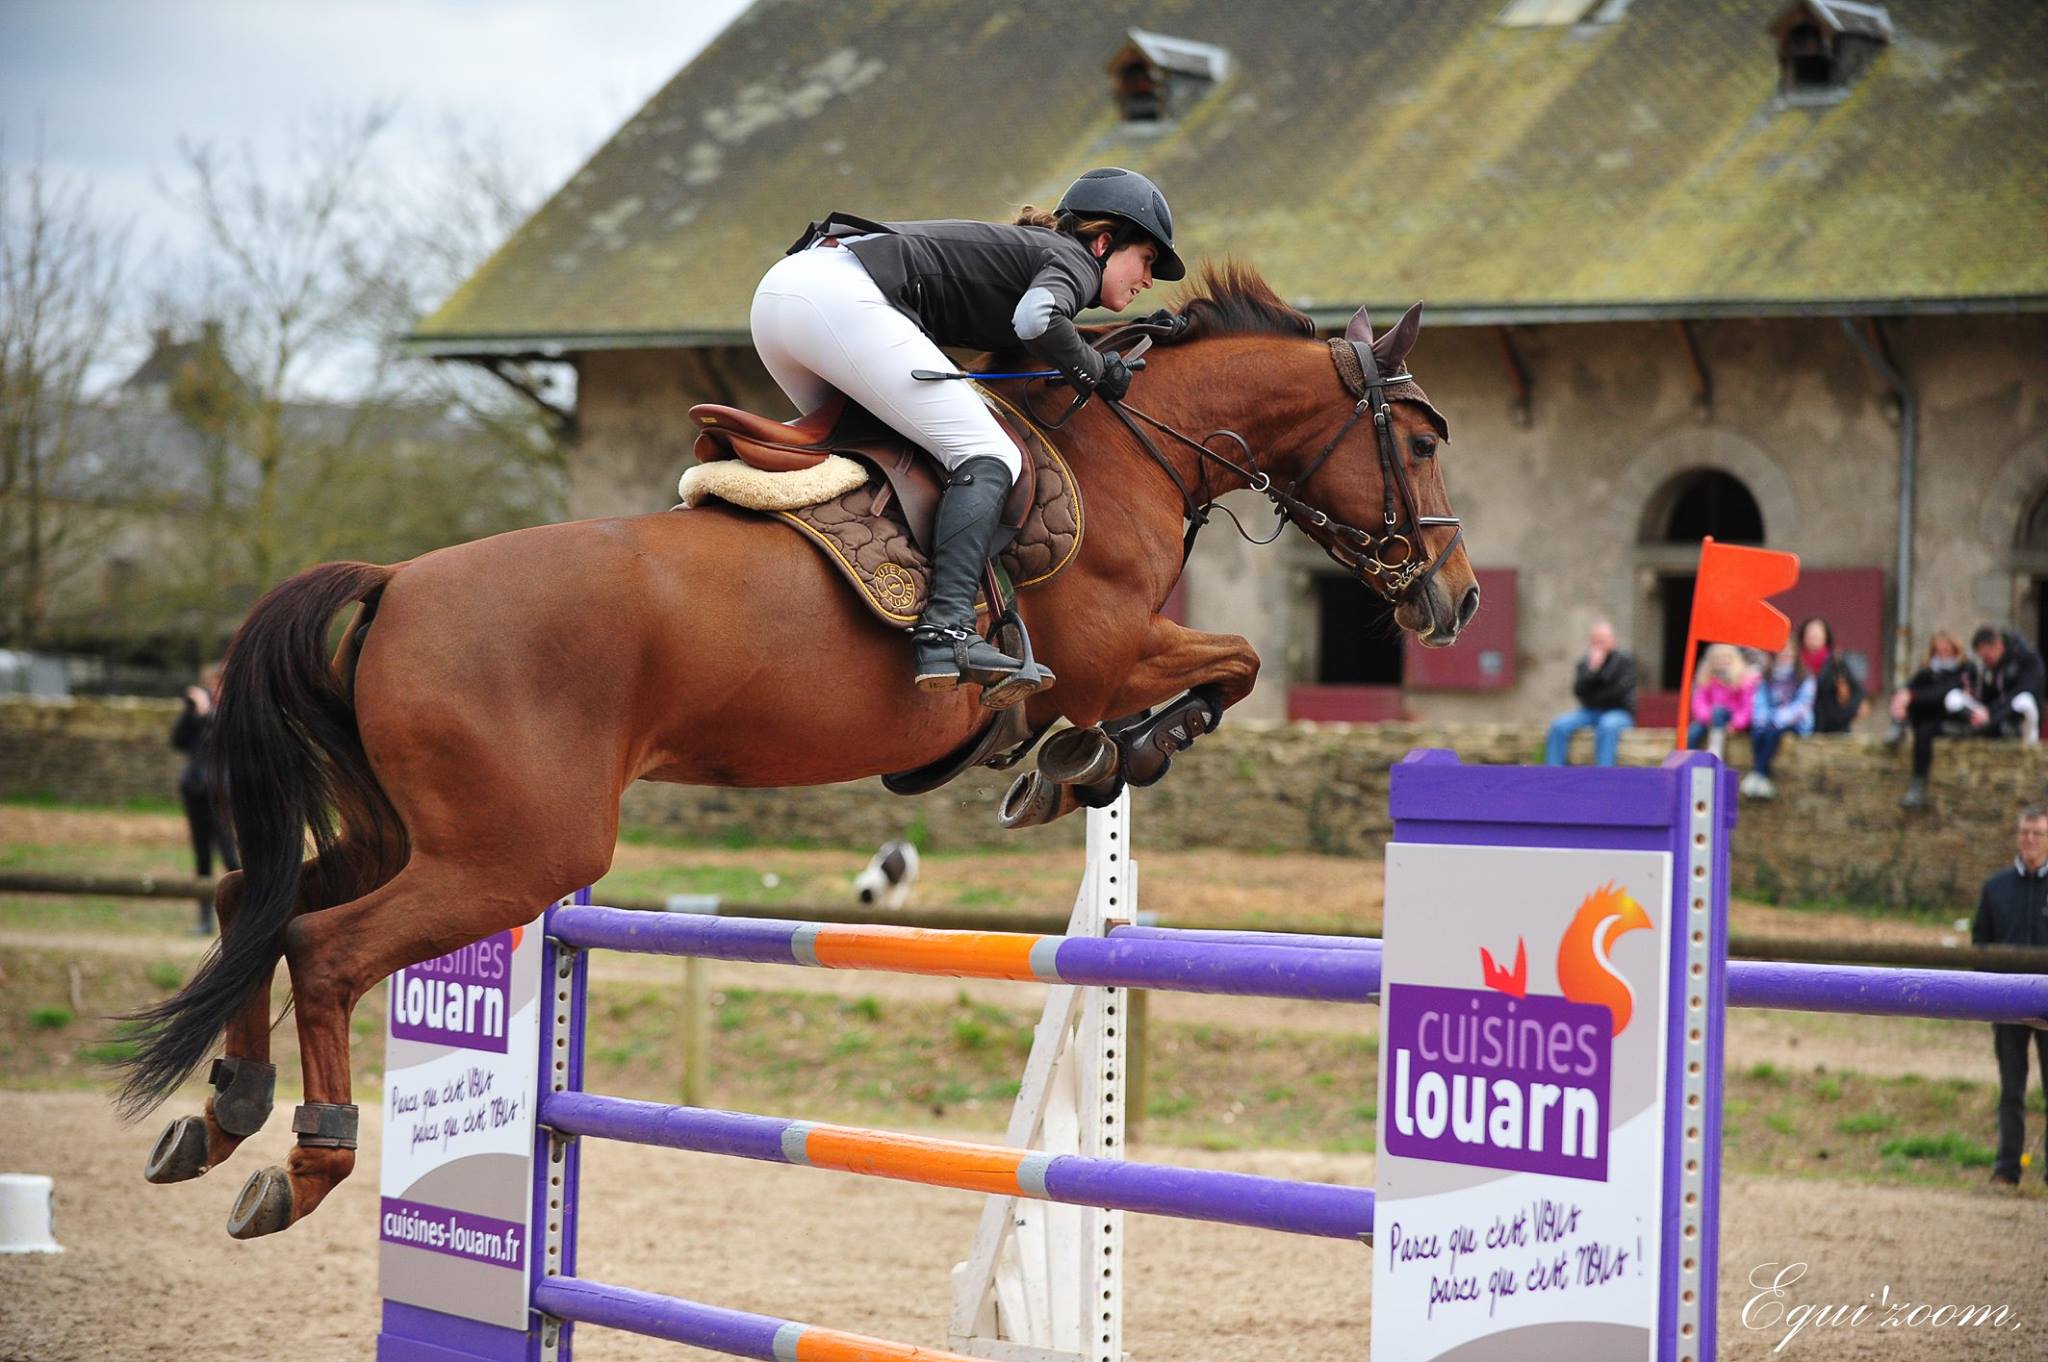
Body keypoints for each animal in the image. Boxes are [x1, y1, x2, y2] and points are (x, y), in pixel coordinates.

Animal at [119, 262, 1474, 1228]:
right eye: (1416, 444)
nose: (1451, 601)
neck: (1126, 448)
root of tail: (397, 581)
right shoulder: (1109, 651)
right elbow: (1227, 666)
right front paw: (1099, 761)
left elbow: (1206, 676)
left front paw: (1066, 765)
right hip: (517, 852)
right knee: (322, 946)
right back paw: (304, 1161)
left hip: (416, 831)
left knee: (251, 895)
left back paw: (224, 1111)